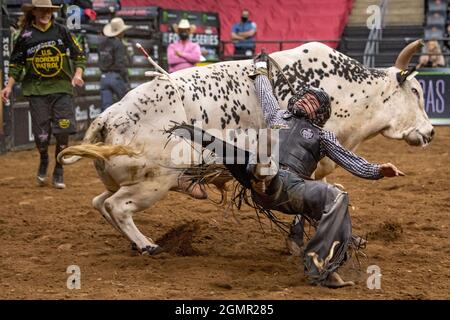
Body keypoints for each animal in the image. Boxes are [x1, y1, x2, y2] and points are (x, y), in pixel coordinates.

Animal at [59, 40, 432, 255]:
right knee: (118, 207)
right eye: (415, 91)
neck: (349, 90)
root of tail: (107, 117)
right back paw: (147, 245)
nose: (429, 132)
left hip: (125, 179)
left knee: (101, 203)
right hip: (156, 180)